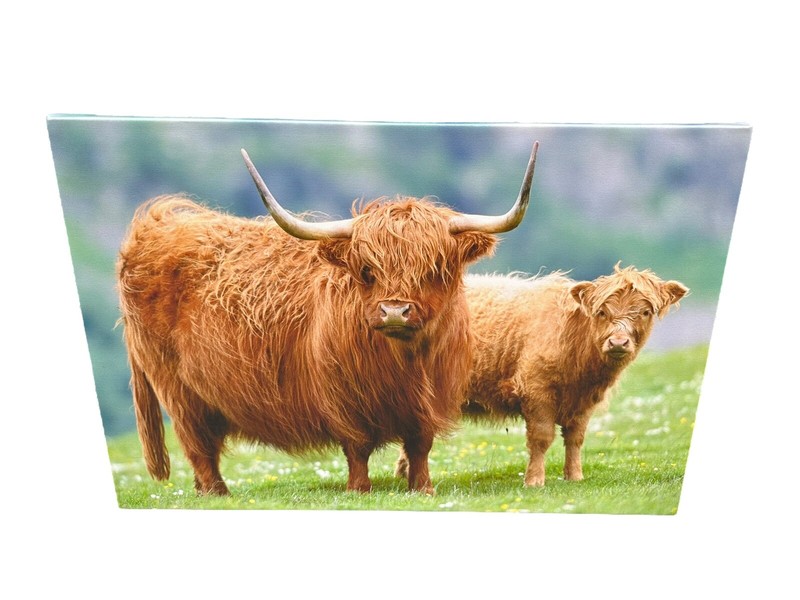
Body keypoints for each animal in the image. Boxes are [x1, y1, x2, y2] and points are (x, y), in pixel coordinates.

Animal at [116, 141, 539, 496]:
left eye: (434, 268)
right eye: (367, 270)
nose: (395, 311)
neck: (404, 365)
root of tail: (154, 227)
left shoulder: (432, 399)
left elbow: (420, 446)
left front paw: (423, 489)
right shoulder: (343, 395)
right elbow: (358, 447)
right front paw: (359, 490)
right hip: (177, 388)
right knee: (199, 445)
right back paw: (219, 493)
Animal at [395, 264, 688, 487]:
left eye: (645, 312)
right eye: (602, 312)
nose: (618, 342)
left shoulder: (585, 401)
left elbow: (575, 439)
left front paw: (574, 476)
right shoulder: (536, 391)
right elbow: (542, 437)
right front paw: (534, 480)